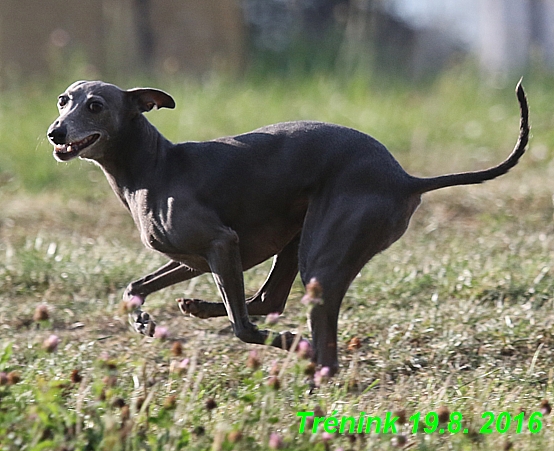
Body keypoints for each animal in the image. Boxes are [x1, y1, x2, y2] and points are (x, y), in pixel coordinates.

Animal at [46, 80, 528, 374]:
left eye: (95, 106)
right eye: (63, 100)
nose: (55, 132)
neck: (153, 166)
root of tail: (405, 177)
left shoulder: (222, 244)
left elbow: (243, 328)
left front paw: (289, 342)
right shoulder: (196, 258)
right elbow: (136, 287)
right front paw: (142, 319)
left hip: (322, 256)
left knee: (310, 337)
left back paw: (311, 365)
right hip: (298, 238)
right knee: (268, 298)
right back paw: (201, 307)